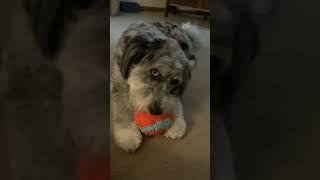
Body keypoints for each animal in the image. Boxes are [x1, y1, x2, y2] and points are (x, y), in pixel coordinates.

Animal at [110, 21, 200, 153]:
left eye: (175, 82)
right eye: (155, 72)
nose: (156, 112)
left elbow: (176, 101)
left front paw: (177, 123)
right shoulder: (118, 84)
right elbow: (123, 109)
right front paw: (128, 135)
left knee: (192, 57)